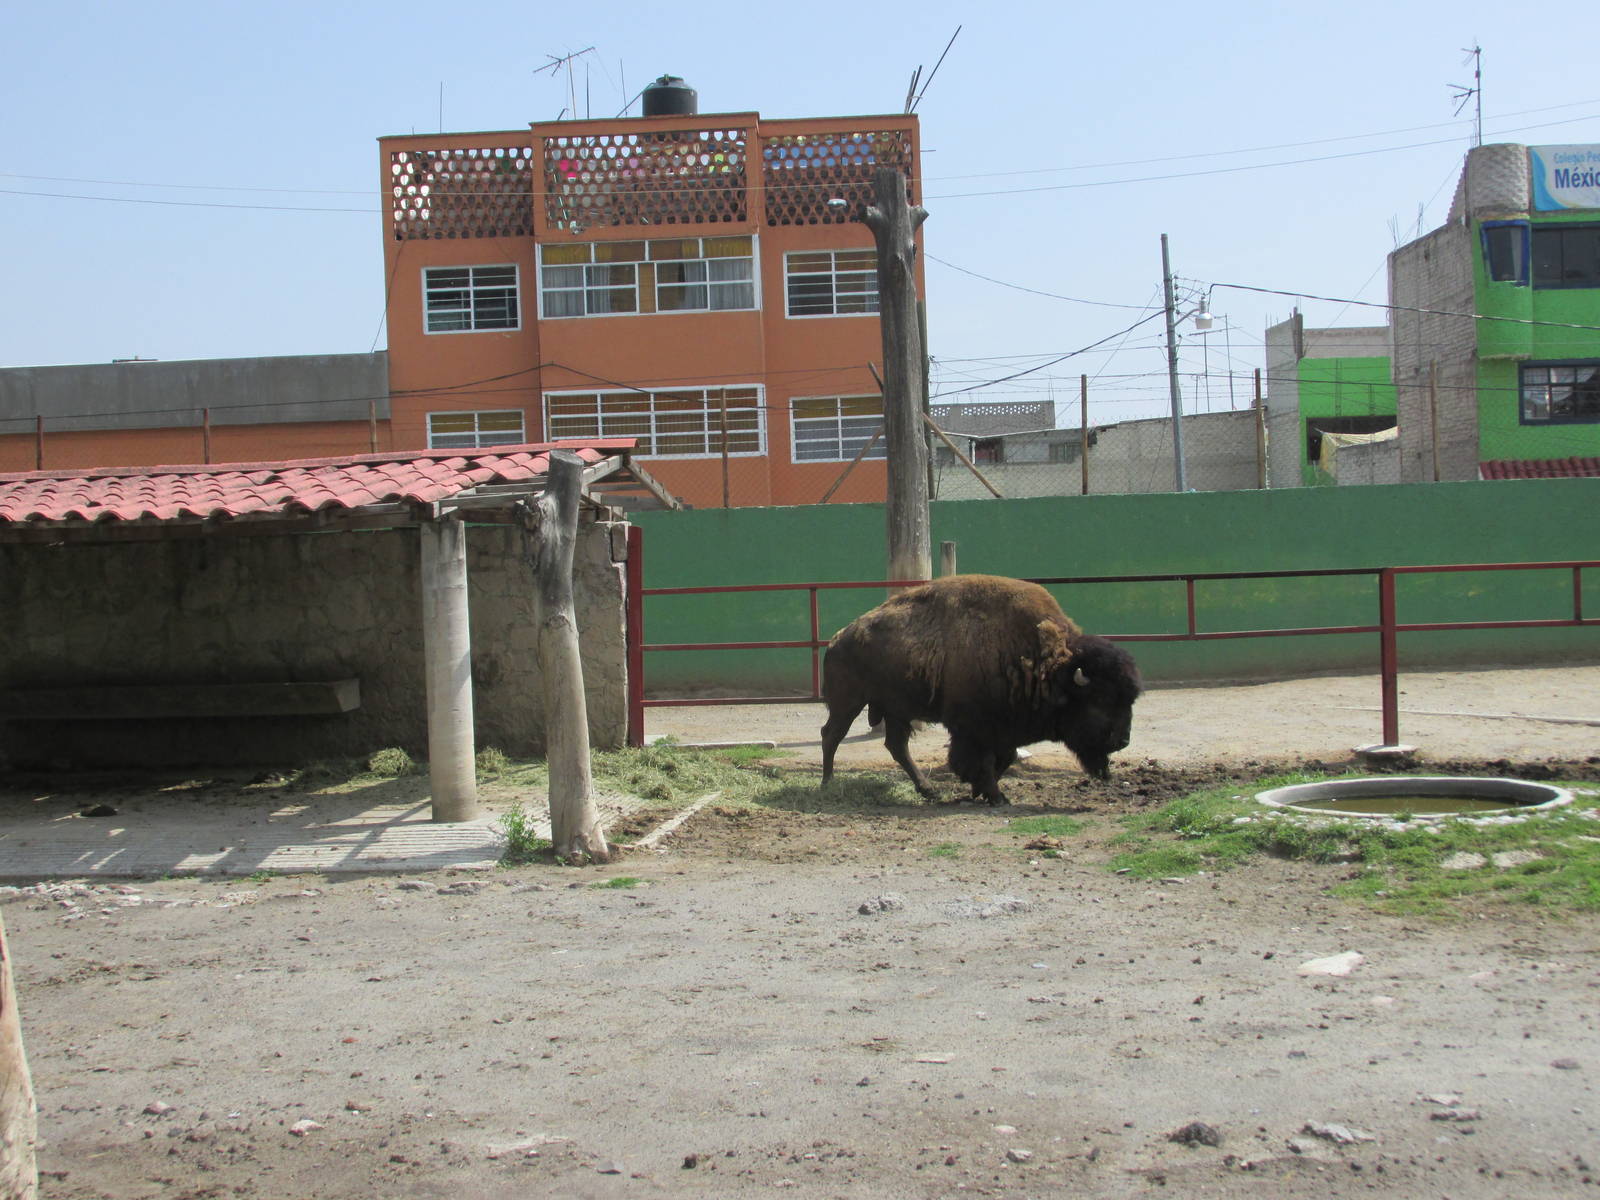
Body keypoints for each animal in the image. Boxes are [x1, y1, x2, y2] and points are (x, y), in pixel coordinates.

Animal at [819, 574, 1141, 804]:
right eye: (1101, 700)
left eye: (1129, 700)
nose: (1123, 740)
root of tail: (837, 639)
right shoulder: (975, 728)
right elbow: (984, 760)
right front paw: (996, 796)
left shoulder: (1003, 728)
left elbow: (1005, 758)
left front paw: (978, 790)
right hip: (848, 702)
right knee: (832, 735)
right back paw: (827, 783)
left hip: (896, 710)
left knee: (896, 746)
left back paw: (928, 790)